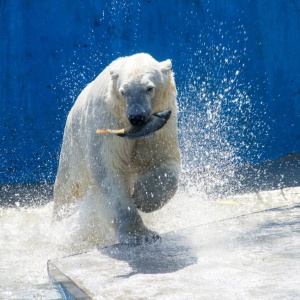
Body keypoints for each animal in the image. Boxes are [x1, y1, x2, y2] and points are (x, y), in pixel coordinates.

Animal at [52, 52, 180, 245]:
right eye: (123, 92)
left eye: (149, 88)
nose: (136, 117)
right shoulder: (107, 120)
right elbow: (109, 172)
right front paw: (140, 235)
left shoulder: (162, 126)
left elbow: (163, 160)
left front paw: (142, 198)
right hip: (73, 153)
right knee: (67, 191)